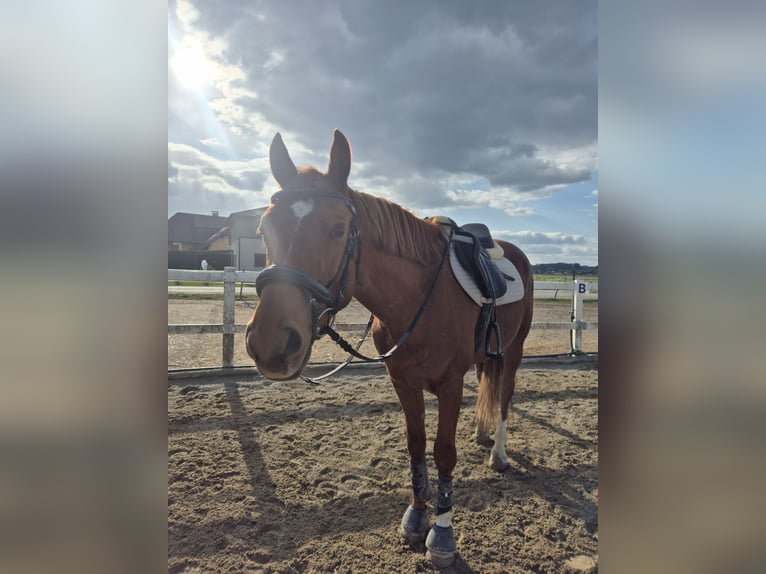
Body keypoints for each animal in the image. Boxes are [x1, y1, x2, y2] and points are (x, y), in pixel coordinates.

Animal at [245, 129, 533, 567]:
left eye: (338, 228)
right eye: (264, 229)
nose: (271, 343)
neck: (418, 296)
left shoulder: (450, 385)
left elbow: (443, 452)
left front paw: (442, 534)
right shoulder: (402, 381)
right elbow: (416, 446)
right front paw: (416, 517)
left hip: (514, 350)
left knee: (504, 394)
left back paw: (498, 452)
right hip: (487, 354)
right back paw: (482, 433)